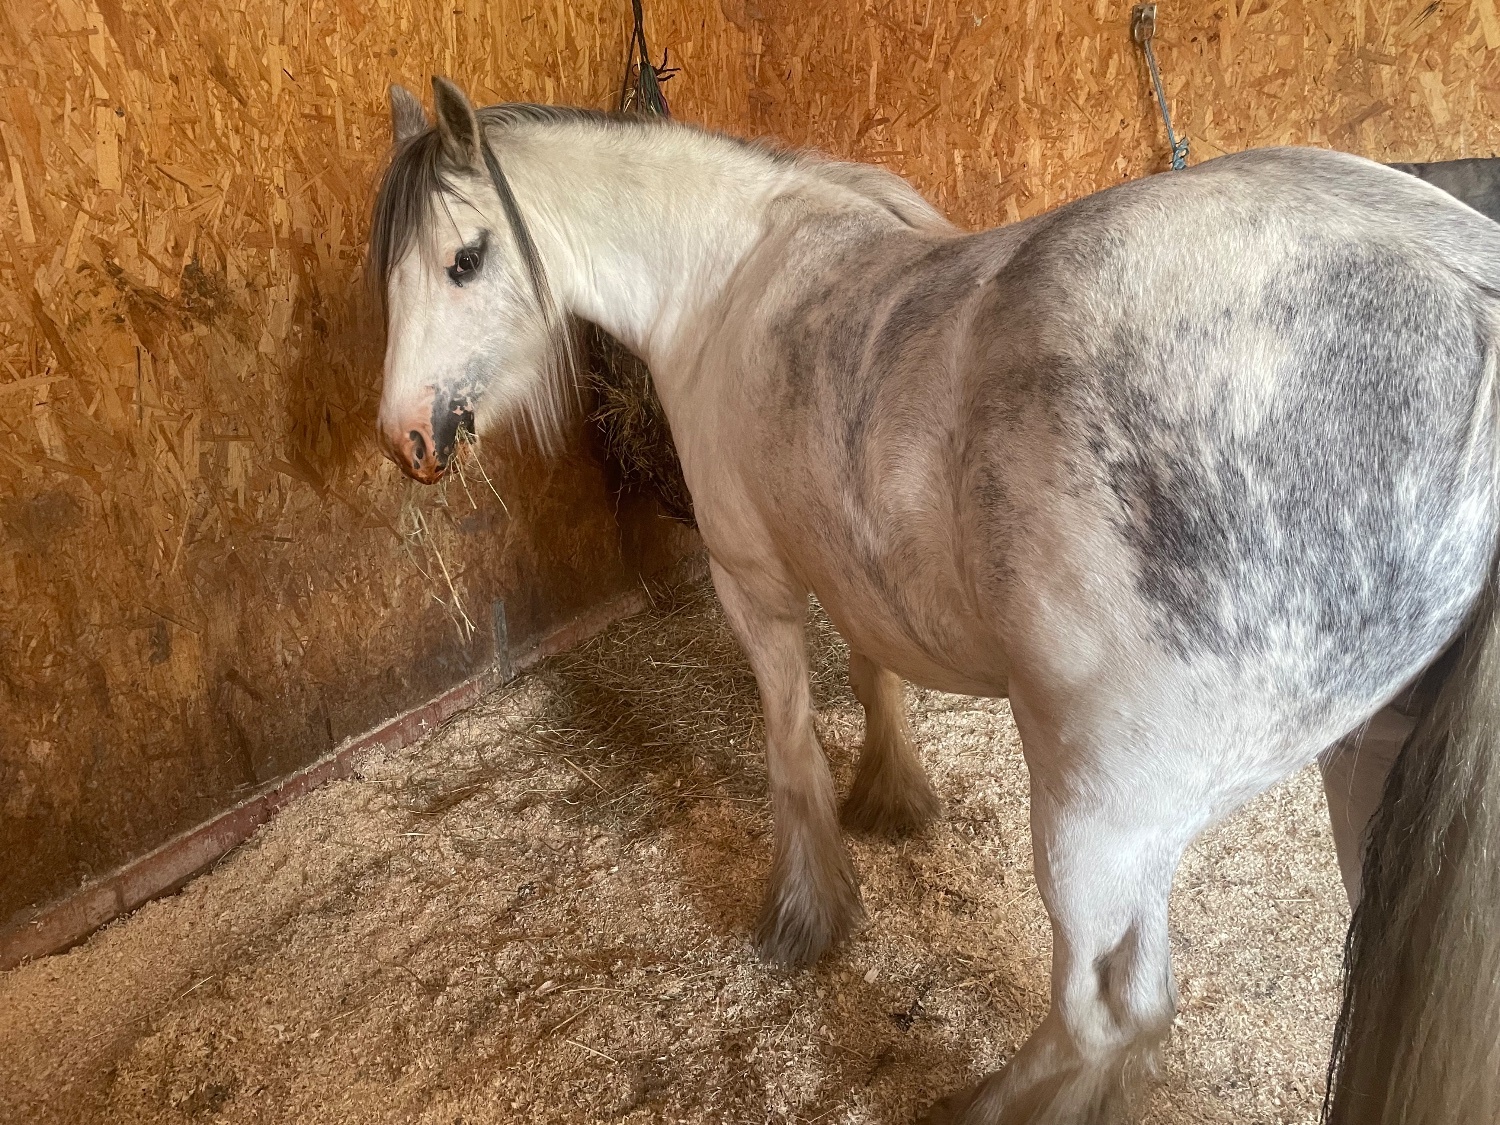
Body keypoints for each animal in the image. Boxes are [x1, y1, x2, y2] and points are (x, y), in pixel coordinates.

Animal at [369, 77, 1500, 1124]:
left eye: (465, 259)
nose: (408, 437)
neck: (727, 277)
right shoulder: (850, 564)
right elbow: (875, 675)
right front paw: (893, 796)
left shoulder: (752, 581)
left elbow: (789, 748)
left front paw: (809, 907)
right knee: (1138, 1006)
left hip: (1100, 813)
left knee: (1102, 1014)